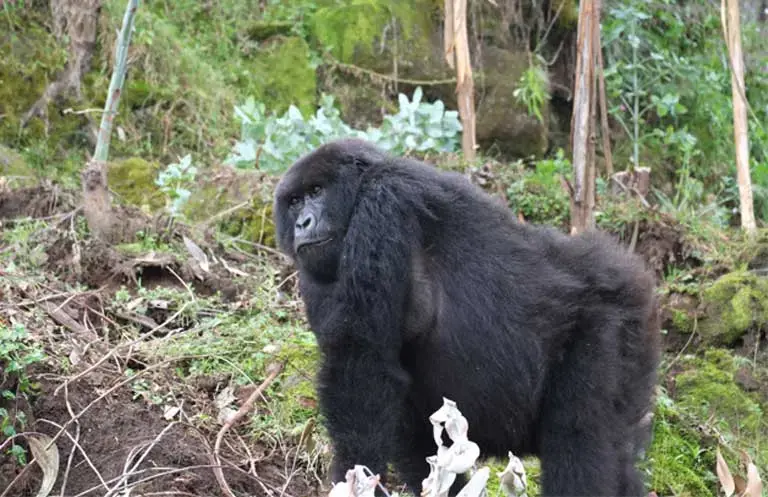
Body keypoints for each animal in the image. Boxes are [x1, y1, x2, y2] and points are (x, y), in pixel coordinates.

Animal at [274, 138, 660, 494]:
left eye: (317, 191)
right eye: (294, 202)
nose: (303, 223)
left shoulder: (384, 200)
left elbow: (362, 366)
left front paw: (353, 479)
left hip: (616, 316)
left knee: (580, 436)